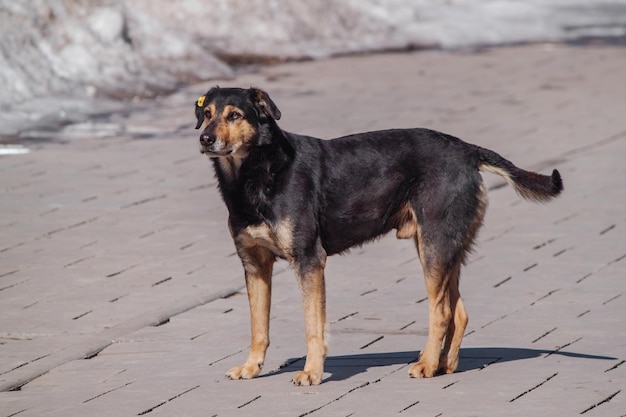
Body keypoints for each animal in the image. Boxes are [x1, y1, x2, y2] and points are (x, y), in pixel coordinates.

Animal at [191, 86, 560, 386]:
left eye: (235, 115)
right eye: (207, 114)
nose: (205, 139)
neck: (256, 173)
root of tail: (466, 150)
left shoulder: (309, 260)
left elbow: (313, 326)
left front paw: (311, 372)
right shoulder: (254, 265)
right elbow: (258, 327)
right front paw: (251, 367)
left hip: (434, 246)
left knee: (440, 312)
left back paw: (426, 365)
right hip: (441, 247)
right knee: (458, 312)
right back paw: (444, 365)